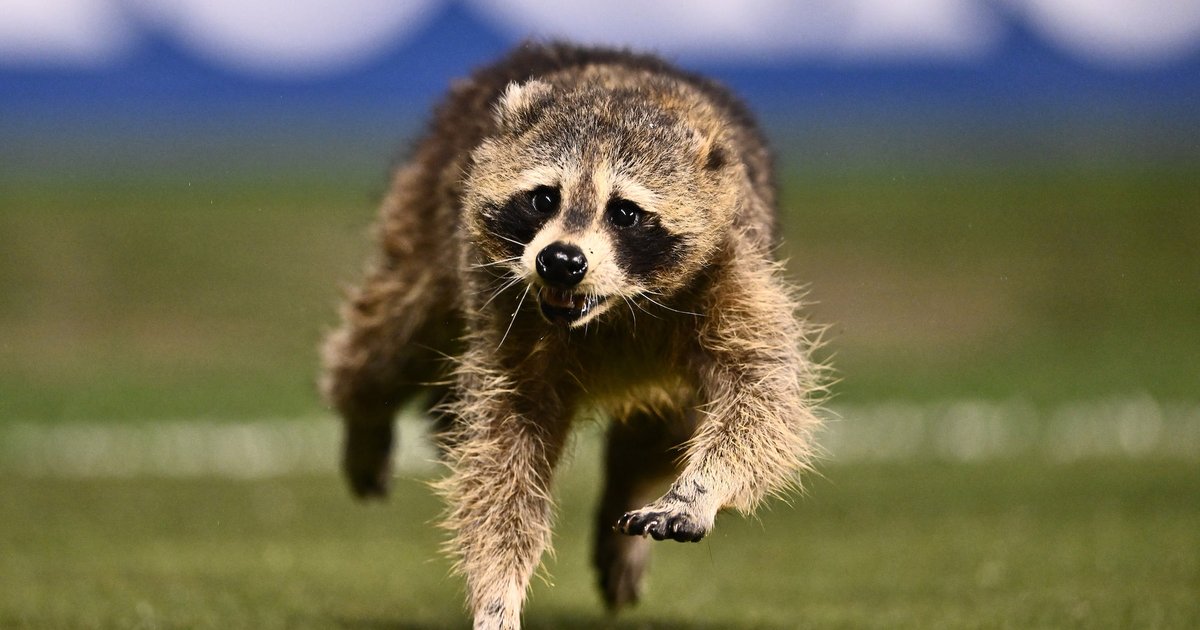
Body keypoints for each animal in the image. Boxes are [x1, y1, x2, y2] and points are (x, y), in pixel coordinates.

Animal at [321, 41, 825, 629]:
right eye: (543, 198)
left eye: (625, 212)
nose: (560, 261)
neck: (608, 311)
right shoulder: (504, 313)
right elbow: (502, 456)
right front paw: (497, 590)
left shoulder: (733, 266)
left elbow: (763, 394)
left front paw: (699, 491)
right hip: (426, 217)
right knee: (388, 341)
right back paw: (363, 417)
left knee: (666, 428)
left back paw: (630, 500)